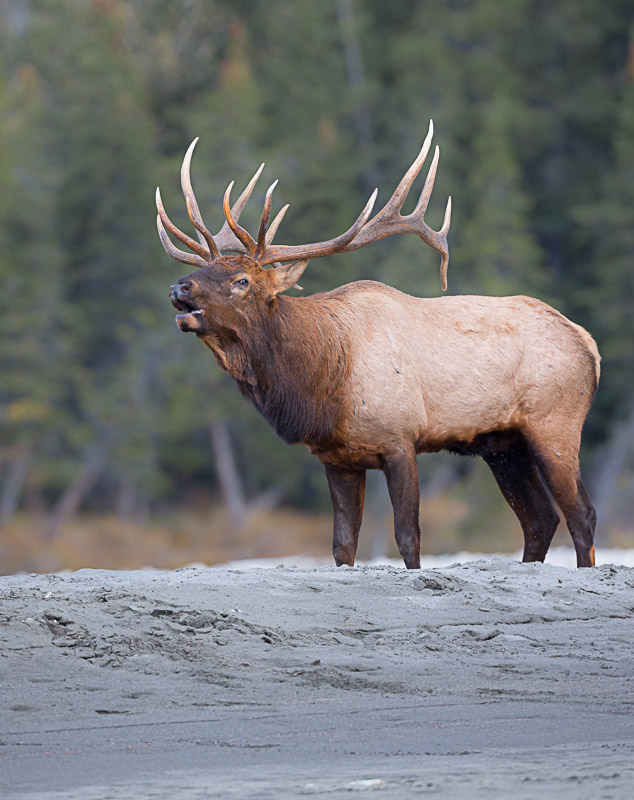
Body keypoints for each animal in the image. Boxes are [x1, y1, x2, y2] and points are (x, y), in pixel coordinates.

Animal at [157, 120, 596, 568]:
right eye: (207, 270)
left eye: (242, 280)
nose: (179, 287)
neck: (321, 386)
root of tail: (587, 342)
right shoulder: (336, 457)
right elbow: (342, 545)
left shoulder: (400, 439)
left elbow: (407, 537)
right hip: (503, 445)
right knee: (539, 519)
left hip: (555, 424)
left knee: (581, 514)